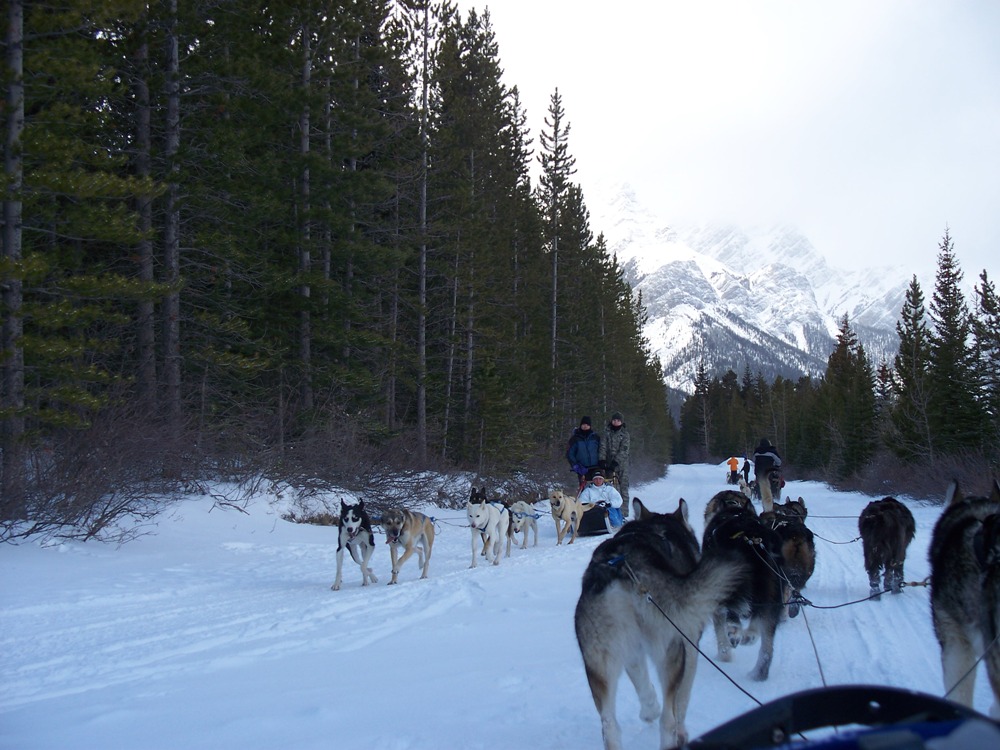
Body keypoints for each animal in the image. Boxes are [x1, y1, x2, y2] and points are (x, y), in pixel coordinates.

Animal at [576, 500, 748, 750]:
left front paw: (649, 711)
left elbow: (644, 686)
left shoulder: (634, 653)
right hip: (671, 650)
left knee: (610, 725)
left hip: (599, 664)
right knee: (668, 719)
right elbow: (682, 701)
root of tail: (626, 567)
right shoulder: (689, 645)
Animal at [704, 490, 788, 684]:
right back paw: (757, 671)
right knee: (766, 645)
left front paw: (724, 656)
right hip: (773, 593)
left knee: (733, 614)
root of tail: (751, 536)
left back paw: (735, 632)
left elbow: (720, 631)